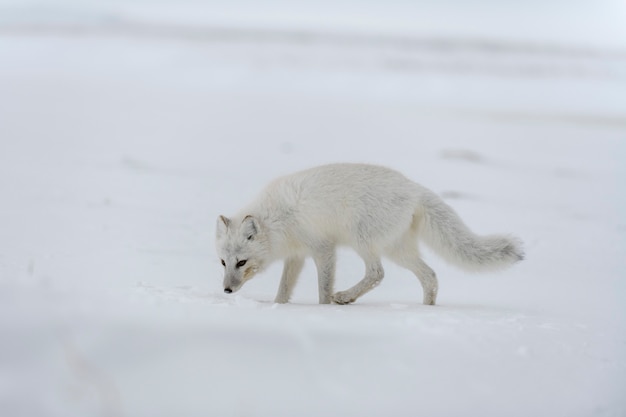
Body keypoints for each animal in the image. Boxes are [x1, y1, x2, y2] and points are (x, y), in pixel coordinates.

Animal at [216, 163, 520, 306]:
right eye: (223, 262)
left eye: (241, 262)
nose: (226, 290)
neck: (276, 219)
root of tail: (414, 188)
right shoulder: (297, 256)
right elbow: (284, 289)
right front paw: (278, 307)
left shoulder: (323, 249)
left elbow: (323, 288)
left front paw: (323, 308)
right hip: (398, 250)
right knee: (430, 276)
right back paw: (426, 309)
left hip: (363, 240)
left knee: (377, 273)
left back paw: (345, 297)